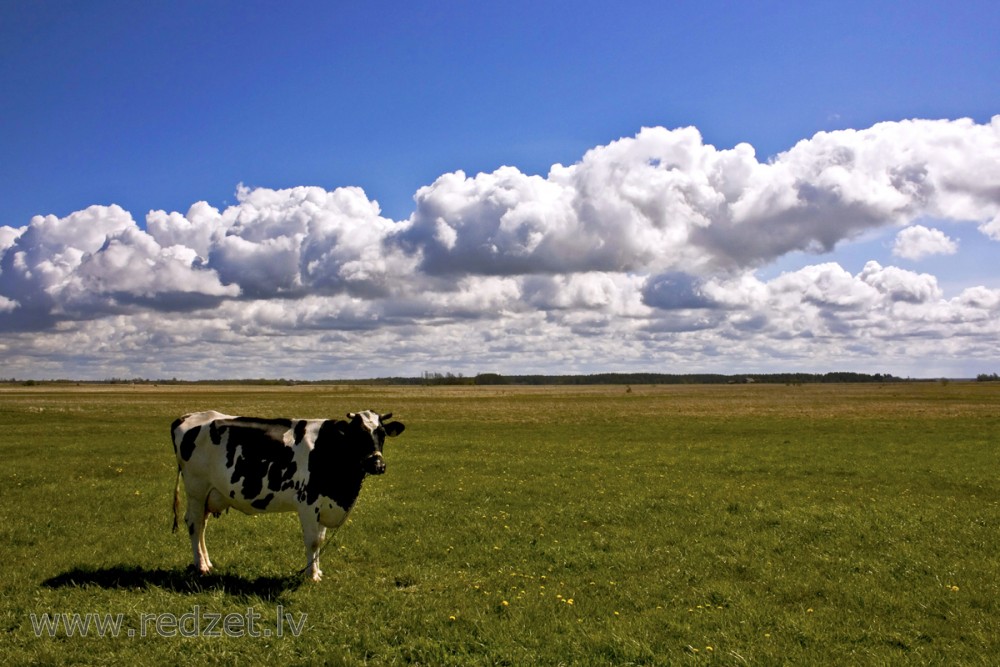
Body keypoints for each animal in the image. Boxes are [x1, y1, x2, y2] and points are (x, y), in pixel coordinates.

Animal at [171, 410, 402, 580]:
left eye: (382, 434)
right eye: (358, 435)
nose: (377, 465)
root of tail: (188, 416)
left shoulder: (324, 505)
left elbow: (320, 539)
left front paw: (317, 570)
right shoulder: (308, 503)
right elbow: (313, 541)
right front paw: (312, 576)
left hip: (209, 494)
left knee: (202, 525)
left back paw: (207, 562)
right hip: (196, 489)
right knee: (194, 524)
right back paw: (201, 566)